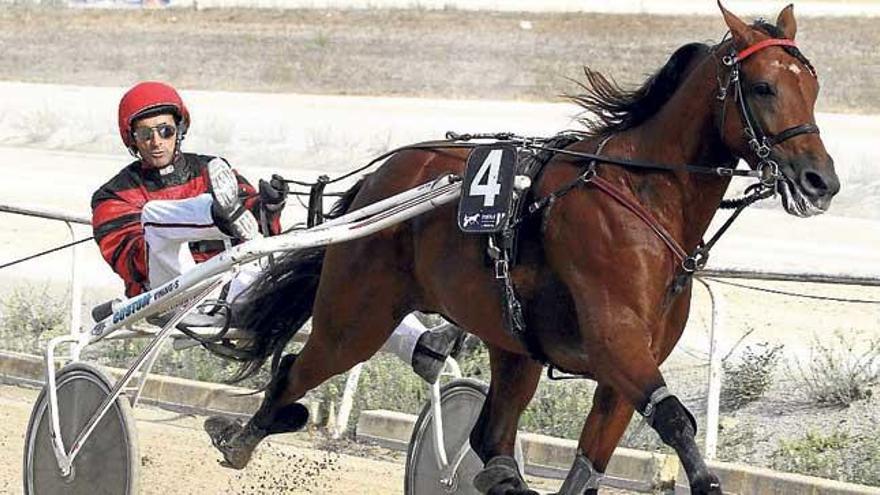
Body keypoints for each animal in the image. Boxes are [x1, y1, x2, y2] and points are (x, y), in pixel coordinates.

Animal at [205, 2, 840, 492]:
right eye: (763, 86)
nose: (821, 181)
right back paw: (238, 436)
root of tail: (384, 175)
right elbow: (676, 419)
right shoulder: (616, 341)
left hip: (512, 339)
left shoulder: (627, 365)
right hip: (357, 316)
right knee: (297, 369)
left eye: (812, 86)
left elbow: (592, 463)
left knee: (491, 435)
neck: (642, 194)